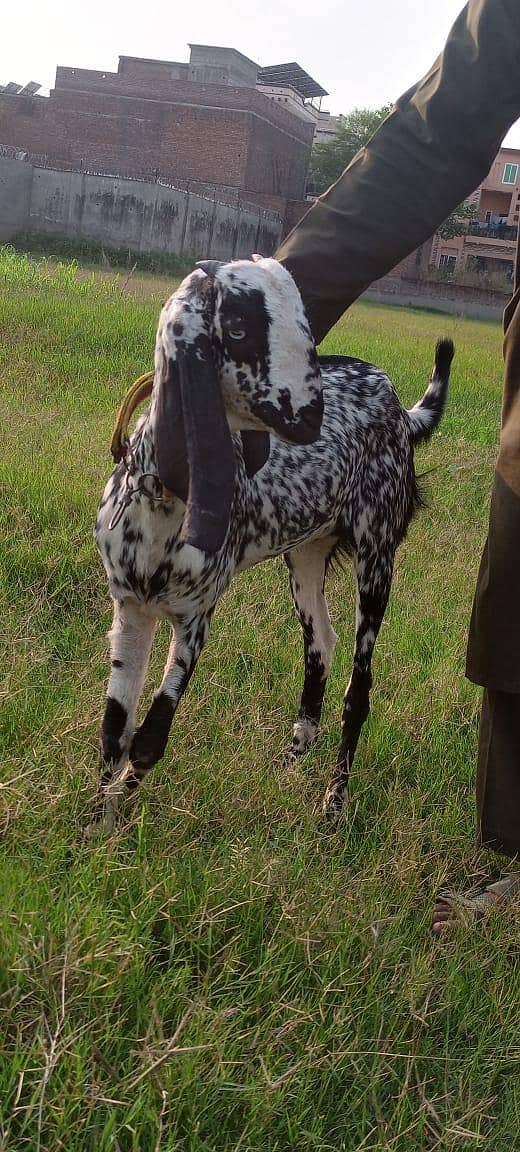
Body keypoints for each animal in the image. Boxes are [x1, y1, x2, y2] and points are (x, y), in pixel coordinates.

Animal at [94, 256, 453, 831]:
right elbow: (115, 730)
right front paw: (99, 825)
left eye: (301, 323)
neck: (162, 501)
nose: (311, 416)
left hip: (376, 559)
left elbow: (150, 738)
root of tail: (399, 409)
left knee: (358, 691)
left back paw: (334, 803)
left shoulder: (194, 620)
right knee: (321, 645)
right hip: (304, 560)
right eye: (239, 327)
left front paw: (121, 806)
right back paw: (294, 755)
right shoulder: (131, 612)